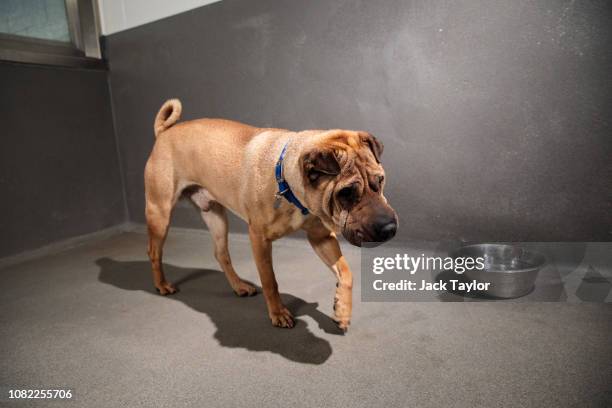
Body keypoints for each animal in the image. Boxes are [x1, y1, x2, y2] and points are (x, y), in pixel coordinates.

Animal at [146, 99, 400, 332]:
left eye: (380, 180)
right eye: (346, 193)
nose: (389, 228)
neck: (288, 185)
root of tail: (164, 132)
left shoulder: (321, 238)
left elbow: (346, 273)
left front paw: (342, 311)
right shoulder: (259, 239)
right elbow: (270, 280)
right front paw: (278, 313)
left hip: (215, 216)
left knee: (221, 254)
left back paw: (239, 286)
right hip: (160, 213)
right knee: (154, 252)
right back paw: (162, 285)